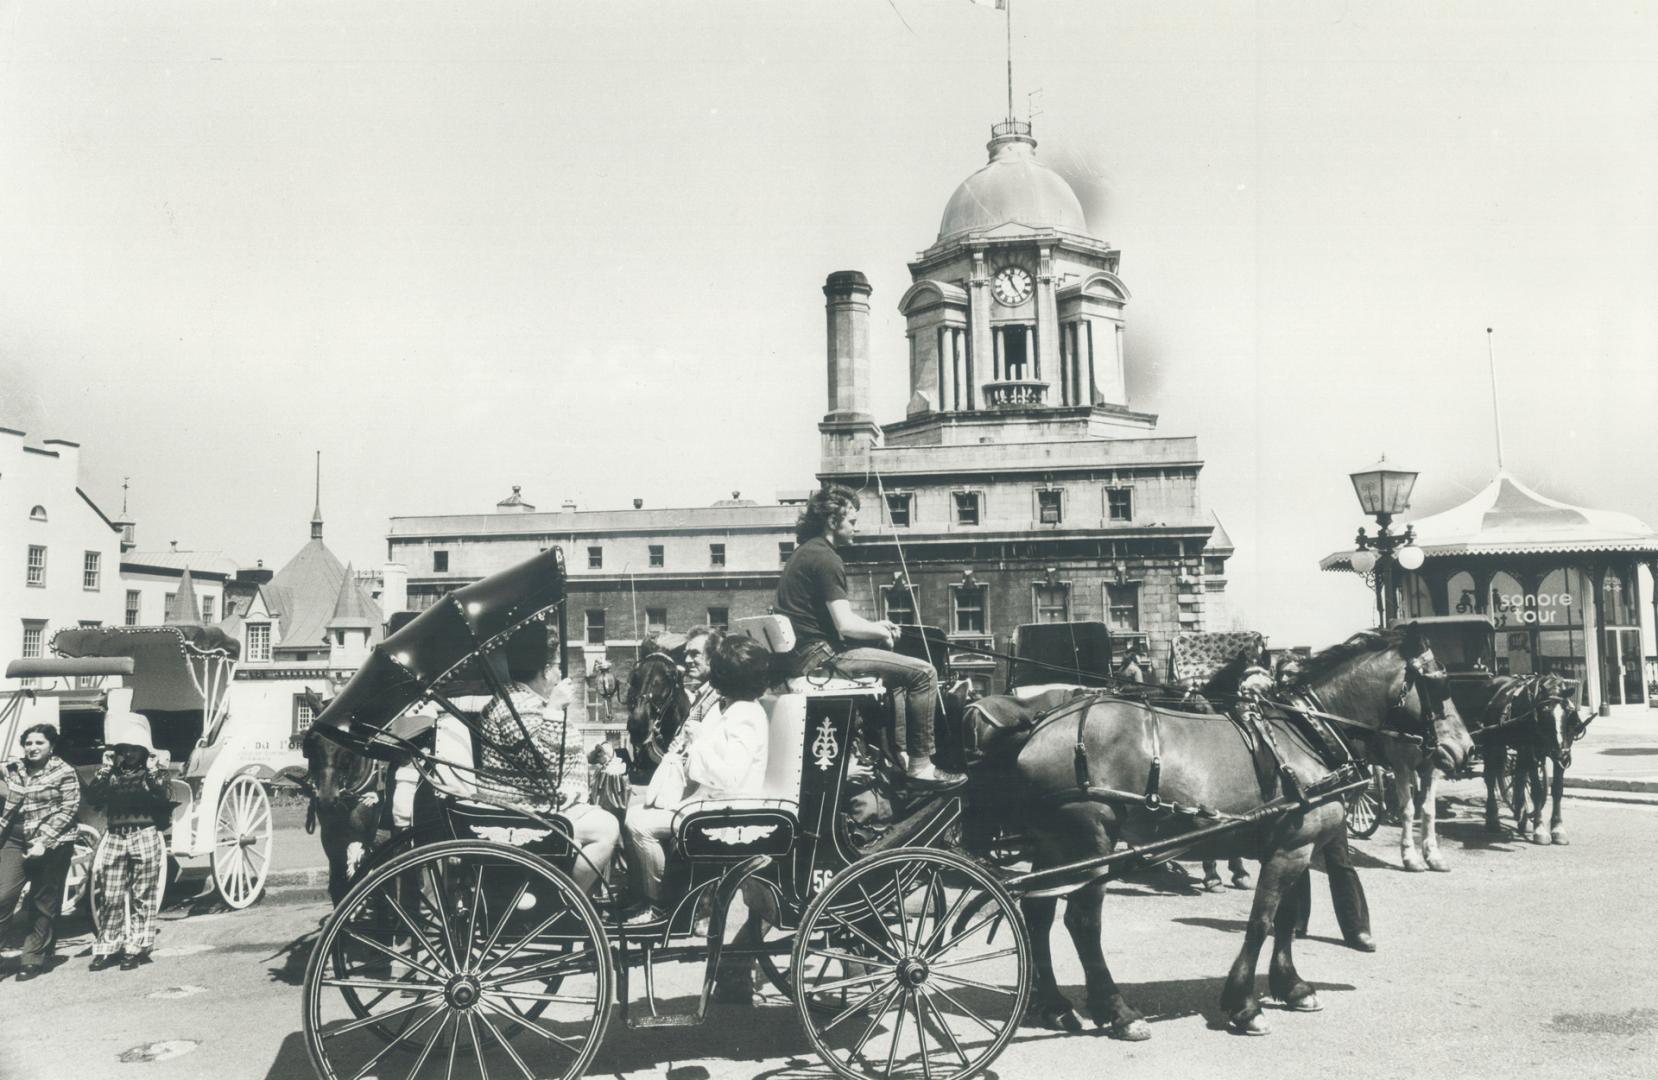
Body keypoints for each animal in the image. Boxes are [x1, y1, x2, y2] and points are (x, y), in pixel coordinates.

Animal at [1001, 623, 1472, 1041]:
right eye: (1441, 684)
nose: (1465, 749)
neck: (1305, 734)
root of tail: (1036, 729)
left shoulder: (1291, 847)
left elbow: (1286, 918)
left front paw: (1291, 987)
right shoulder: (1291, 849)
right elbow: (1261, 921)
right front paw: (1245, 1005)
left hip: (1054, 846)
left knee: (1037, 913)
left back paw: (1055, 1006)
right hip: (1089, 842)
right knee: (1082, 922)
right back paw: (1117, 1011)